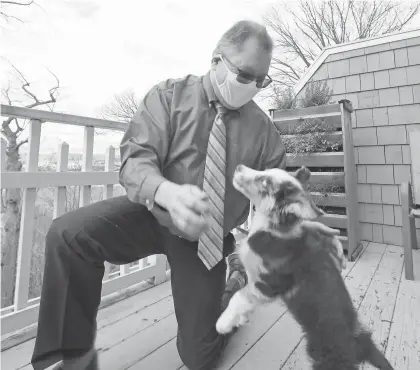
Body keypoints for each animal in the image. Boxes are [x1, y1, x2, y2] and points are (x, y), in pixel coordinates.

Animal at [217, 165, 394, 370]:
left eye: (264, 182)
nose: (238, 167)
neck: (272, 228)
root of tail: (361, 345)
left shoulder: (270, 284)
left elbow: (239, 296)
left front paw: (223, 323)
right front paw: (238, 319)